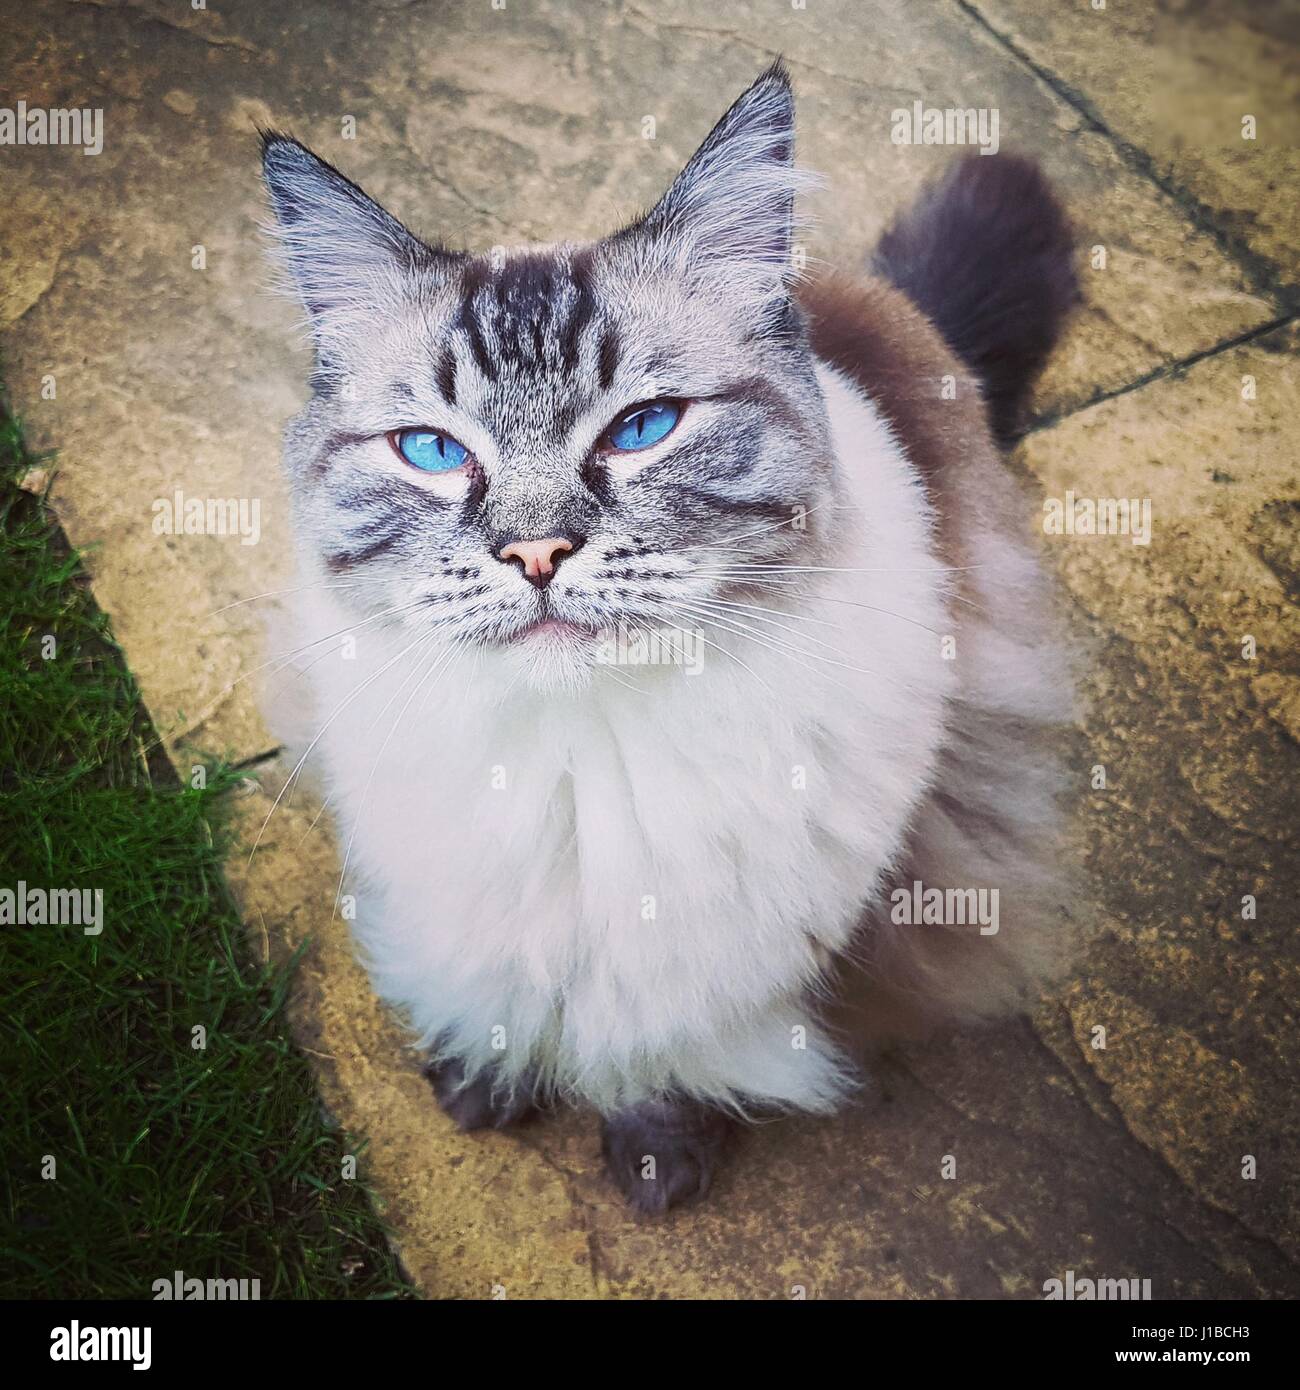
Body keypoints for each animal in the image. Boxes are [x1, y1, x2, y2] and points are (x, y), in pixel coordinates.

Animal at [261, 62, 1078, 1217]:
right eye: (432, 452)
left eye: (641, 429)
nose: (536, 552)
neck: (578, 755)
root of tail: (881, 298)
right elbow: (501, 987)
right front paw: (484, 1078)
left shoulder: (723, 941)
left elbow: (657, 1038)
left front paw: (656, 1149)